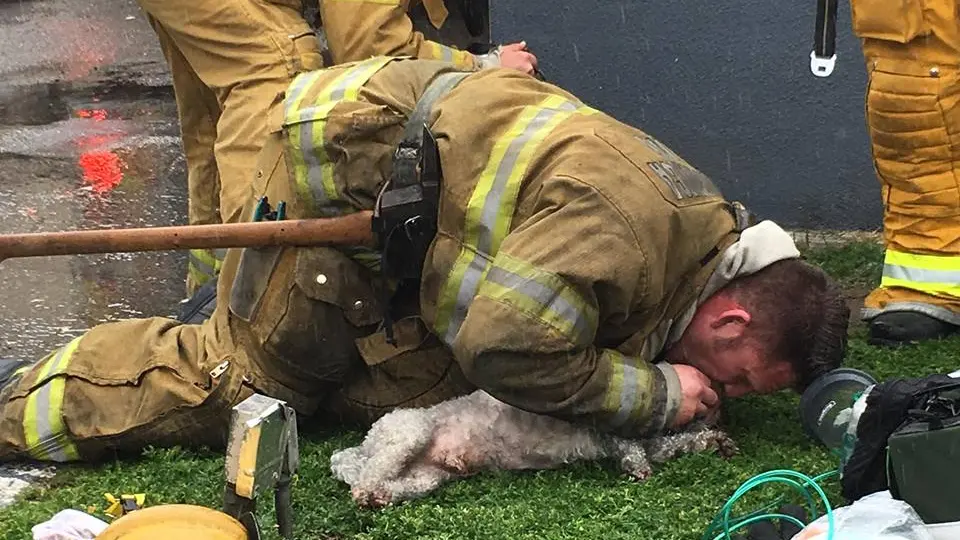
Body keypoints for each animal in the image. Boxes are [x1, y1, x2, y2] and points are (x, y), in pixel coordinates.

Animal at [330, 390, 736, 508]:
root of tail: (363, 444)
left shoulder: (657, 442)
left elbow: (672, 445)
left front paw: (716, 441)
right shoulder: (608, 431)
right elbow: (633, 449)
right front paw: (638, 468)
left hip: (425, 477)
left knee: (392, 484)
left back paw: (381, 497)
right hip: (408, 433)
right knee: (363, 479)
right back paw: (366, 494)